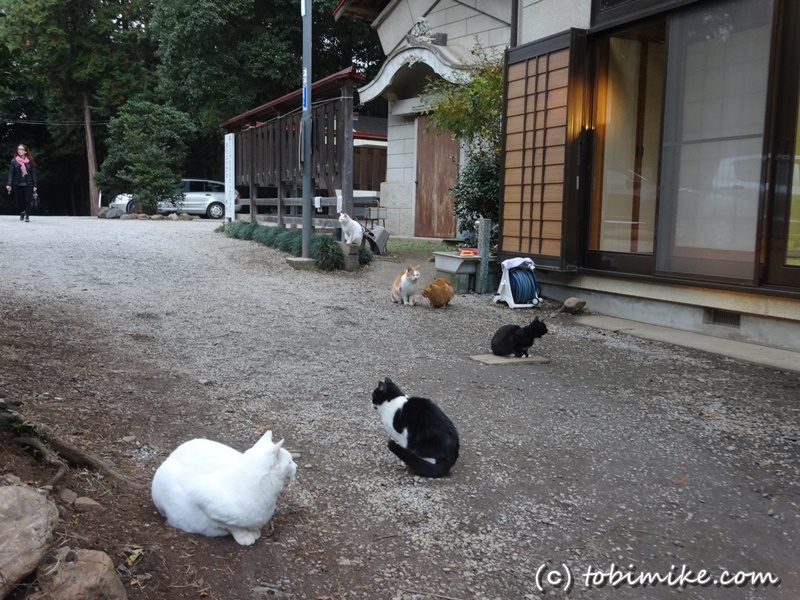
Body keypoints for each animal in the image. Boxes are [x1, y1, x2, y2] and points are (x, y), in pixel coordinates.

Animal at [151, 428, 296, 548]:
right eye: (289, 462)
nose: (296, 465)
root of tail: (171, 455)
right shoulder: (209, 506)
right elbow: (235, 527)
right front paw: (245, 536)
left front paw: (254, 531)